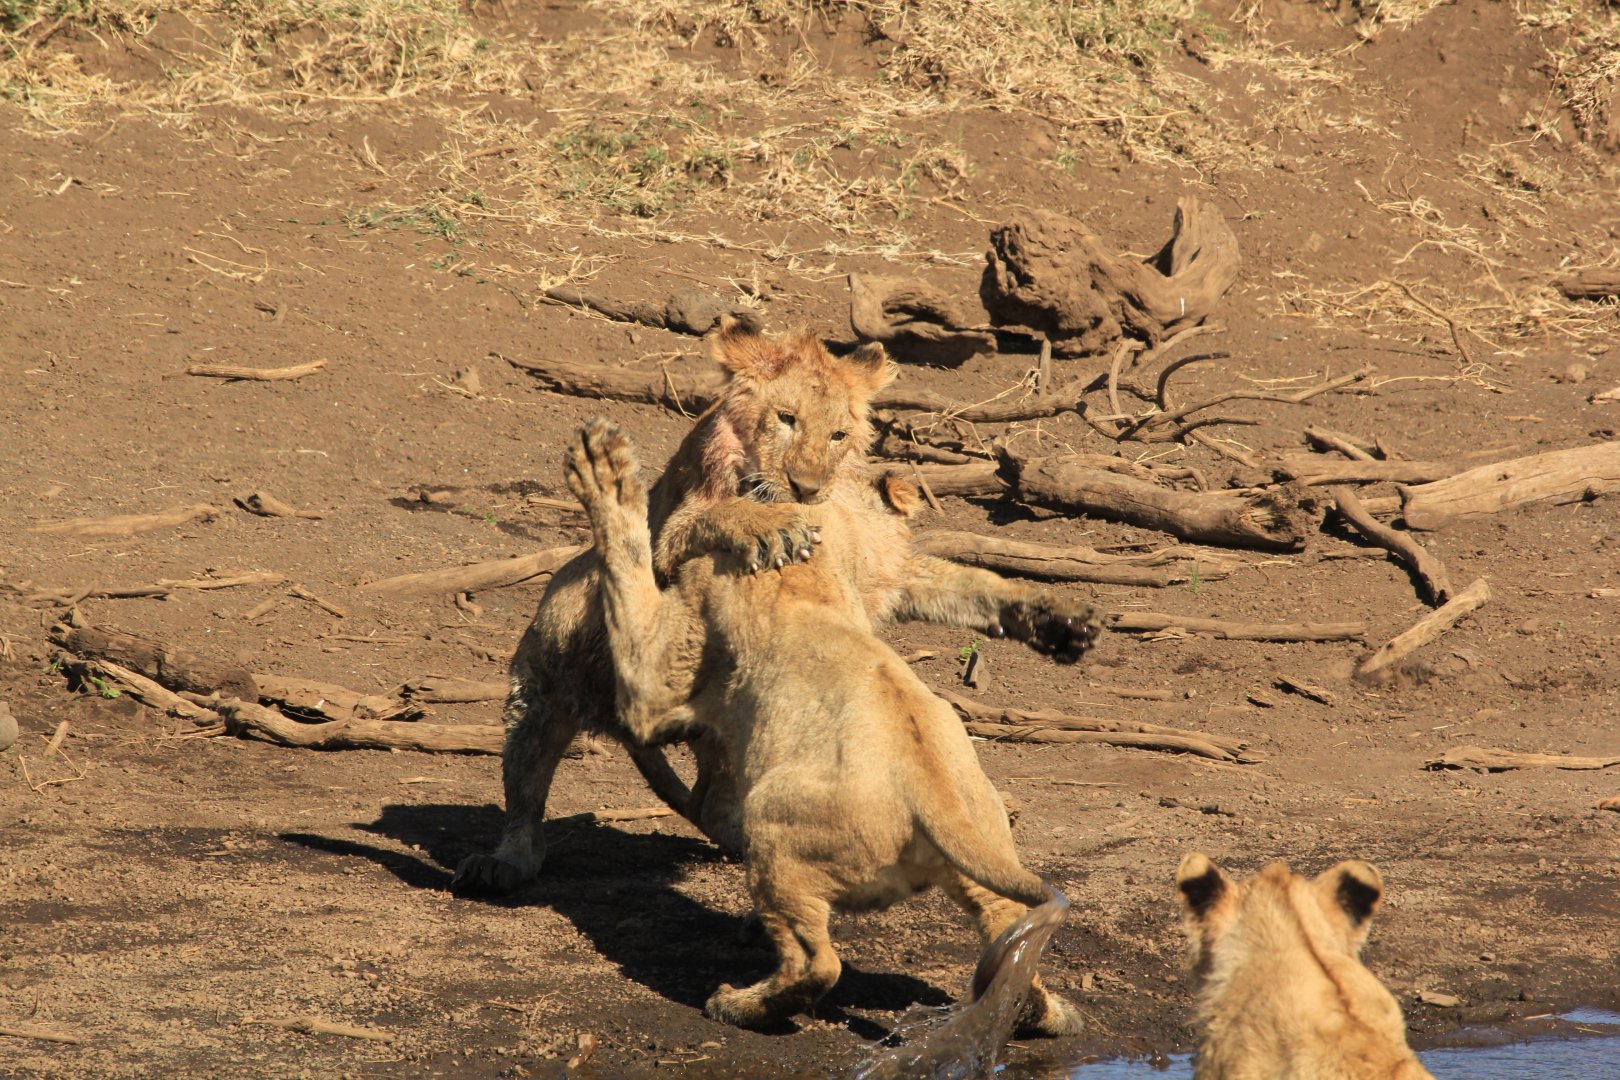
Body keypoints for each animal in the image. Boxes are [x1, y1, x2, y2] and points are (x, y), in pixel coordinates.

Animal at [454, 323, 1099, 893]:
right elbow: (718, 516)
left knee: (711, 795)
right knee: (527, 791)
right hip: (544, 673)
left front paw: (1055, 619)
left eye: (838, 435)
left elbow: (969, 584)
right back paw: (504, 861)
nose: (808, 486)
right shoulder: (676, 530)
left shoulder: (893, 572)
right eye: (786, 419)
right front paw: (774, 527)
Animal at [562, 410, 1085, 1036]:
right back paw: (1044, 1010)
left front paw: (605, 472)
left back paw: (737, 1002)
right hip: (985, 850)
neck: (801, 577)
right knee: (1009, 935)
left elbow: (630, 565)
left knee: (818, 963)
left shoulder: (653, 688)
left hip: (774, 825)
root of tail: (931, 791)